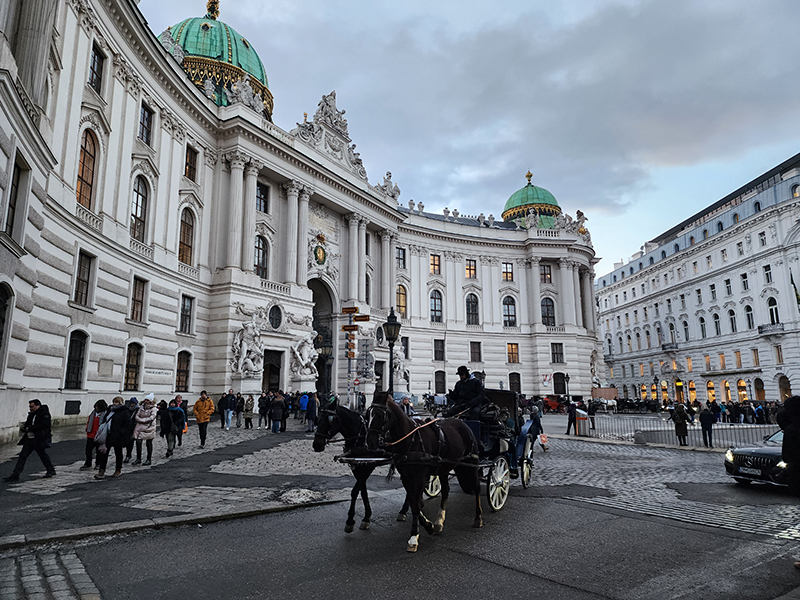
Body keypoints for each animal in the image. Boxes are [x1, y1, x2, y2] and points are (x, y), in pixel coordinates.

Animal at [312, 400, 410, 532]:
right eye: (318, 419)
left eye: (330, 420)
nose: (316, 444)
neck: (360, 435)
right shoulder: (357, 466)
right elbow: (363, 491)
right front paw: (366, 517)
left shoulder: (369, 466)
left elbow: (354, 491)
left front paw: (350, 521)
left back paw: (404, 510)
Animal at [368, 390, 484, 552]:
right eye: (368, 414)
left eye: (379, 415)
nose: (370, 443)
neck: (411, 440)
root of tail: (462, 422)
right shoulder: (406, 476)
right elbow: (413, 502)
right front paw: (428, 526)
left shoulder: (420, 476)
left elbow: (416, 504)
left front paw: (413, 537)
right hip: (444, 467)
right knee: (446, 491)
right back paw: (439, 521)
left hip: (471, 462)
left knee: (477, 487)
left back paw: (478, 517)